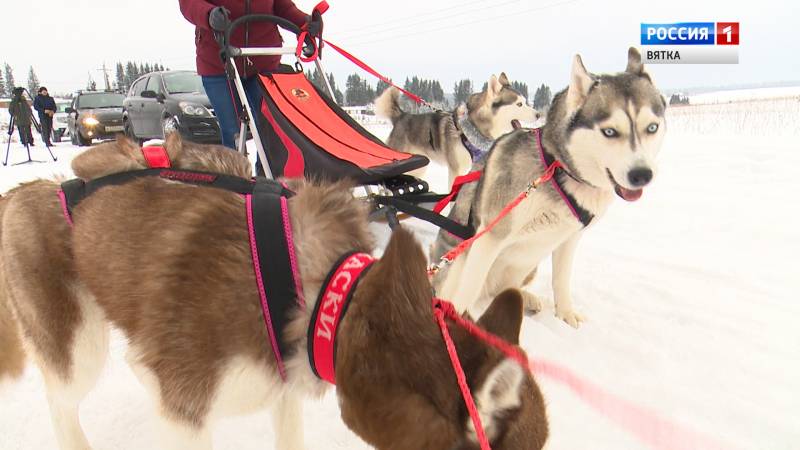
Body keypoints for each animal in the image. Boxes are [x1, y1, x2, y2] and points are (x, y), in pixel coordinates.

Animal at [0, 140, 548, 446]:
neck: (330, 296)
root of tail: (29, 189)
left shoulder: (281, 387)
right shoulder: (187, 415)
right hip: (79, 350)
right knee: (62, 404)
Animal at [374, 74, 536, 186]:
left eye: (526, 102)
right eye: (519, 104)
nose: (538, 114)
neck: (475, 130)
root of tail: (401, 116)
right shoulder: (457, 171)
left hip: (419, 167)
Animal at [434, 48, 664, 326]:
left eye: (652, 127)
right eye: (609, 131)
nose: (642, 174)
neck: (558, 169)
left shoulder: (569, 238)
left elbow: (561, 280)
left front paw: (566, 315)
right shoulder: (490, 236)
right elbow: (467, 290)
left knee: (502, 292)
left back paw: (526, 299)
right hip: (457, 257)